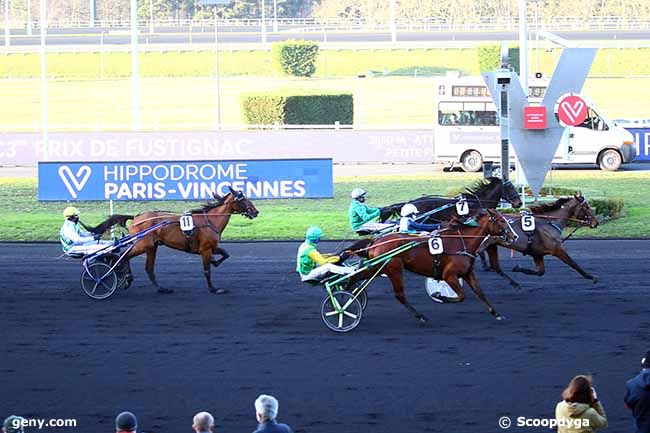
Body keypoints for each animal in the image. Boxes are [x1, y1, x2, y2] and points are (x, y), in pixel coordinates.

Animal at [346, 209, 520, 324]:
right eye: (501, 220)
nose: (515, 236)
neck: (462, 242)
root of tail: (376, 241)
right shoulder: (449, 275)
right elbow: (461, 296)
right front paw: (439, 295)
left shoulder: (467, 273)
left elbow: (480, 293)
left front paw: (496, 313)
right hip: (393, 269)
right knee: (399, 295)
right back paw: (421, 316)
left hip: (377, 268)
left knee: (357, 276)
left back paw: (347, 290)